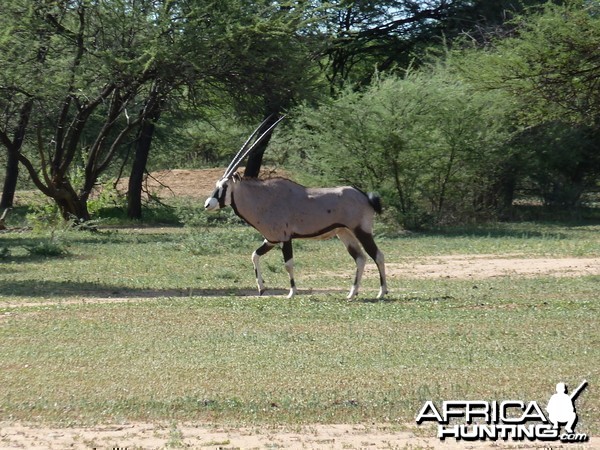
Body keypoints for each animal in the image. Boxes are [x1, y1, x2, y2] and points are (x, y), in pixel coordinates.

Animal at [204, 116, 386, 298]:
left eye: (225, 186)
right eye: (216, 184)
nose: (208, 204)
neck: (264, 198)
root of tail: (365, 196)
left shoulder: (285, 238)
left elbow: (288, 264)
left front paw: (291, 293)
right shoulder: (271, 239)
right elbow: (254, 255)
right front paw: (261, 288)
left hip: (361, 231)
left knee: (378, 255)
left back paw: (382, 292)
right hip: (344, 233)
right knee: (360, 258)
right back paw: (352, 294)